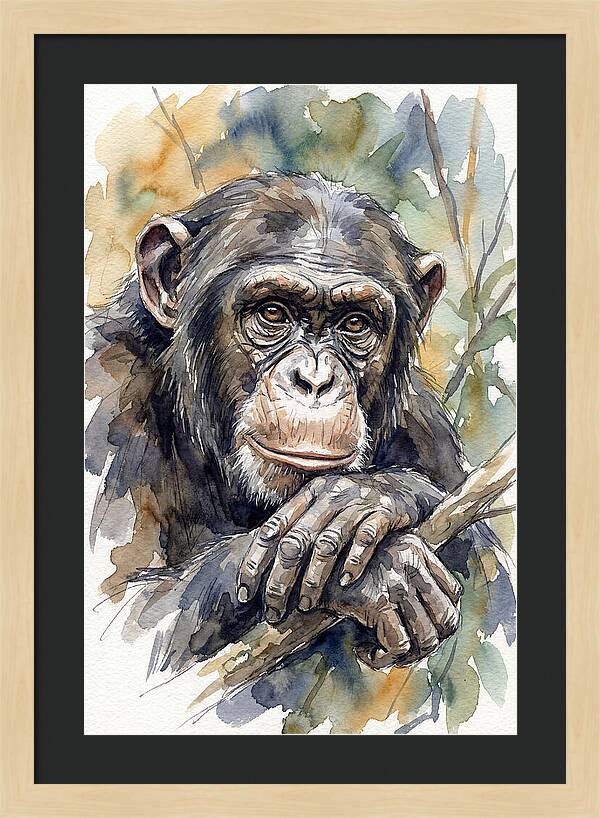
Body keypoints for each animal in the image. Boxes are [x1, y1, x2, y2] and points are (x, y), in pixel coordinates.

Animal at [86, 172, 513, 672]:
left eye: (355, 323)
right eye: (272, 312)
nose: (314, 380)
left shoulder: (425, 425)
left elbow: (495, 585)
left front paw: (368, 497)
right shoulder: (105, 394)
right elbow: (124, 620)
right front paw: (384, 571)